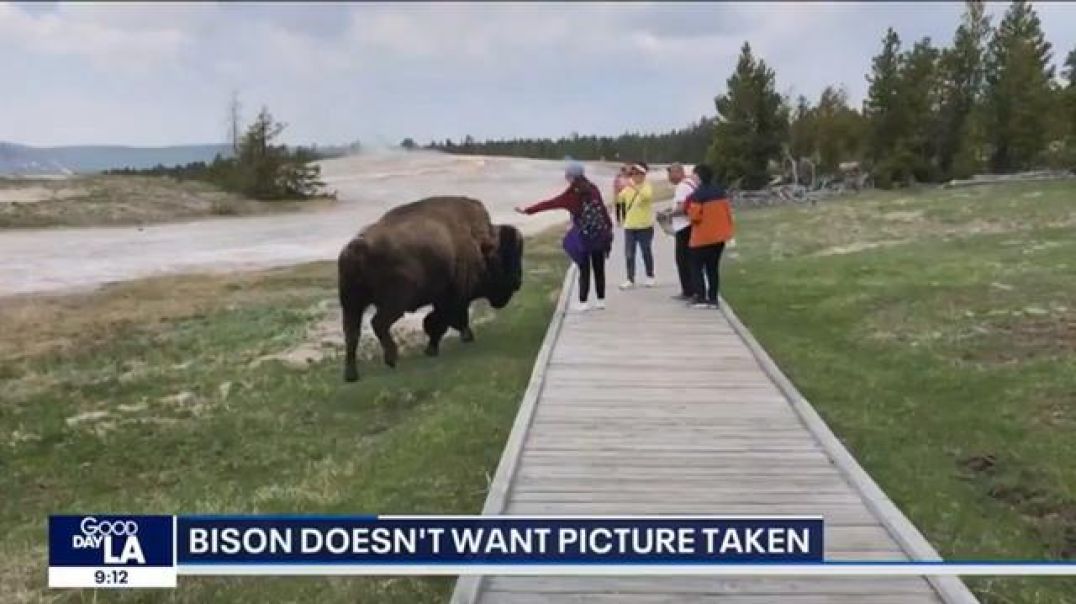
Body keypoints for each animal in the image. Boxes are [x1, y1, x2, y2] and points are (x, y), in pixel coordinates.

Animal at [335, 195, 520, 378]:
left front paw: (464, 337)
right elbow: (441, 321)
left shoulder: (447, 300)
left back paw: (351, 375)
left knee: (352, 333)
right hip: (394, 303)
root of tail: (358, 248)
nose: (518, 282)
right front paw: (433, 349)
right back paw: (391, 359)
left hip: (352, 304)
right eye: (506, 257)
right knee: (377, 323)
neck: (477, 243)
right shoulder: (451, 299)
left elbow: (444, 320)